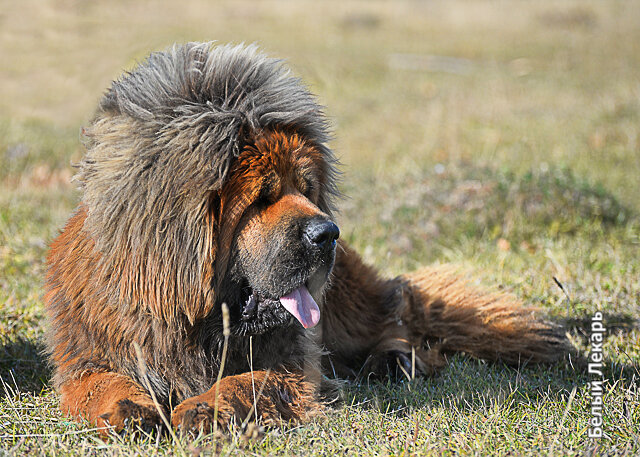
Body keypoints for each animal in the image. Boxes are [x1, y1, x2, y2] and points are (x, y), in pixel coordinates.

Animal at [43, 41, 564, 434]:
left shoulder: (294, 365)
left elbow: (247, 383)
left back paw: (395, 360)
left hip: (350, 307)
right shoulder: (89, 352)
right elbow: (103, 381)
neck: (196, 322)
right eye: (261, 198)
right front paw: (132, 410)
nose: (327, 232)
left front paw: (204, 408)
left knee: (395, 316)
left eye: (307, 190)